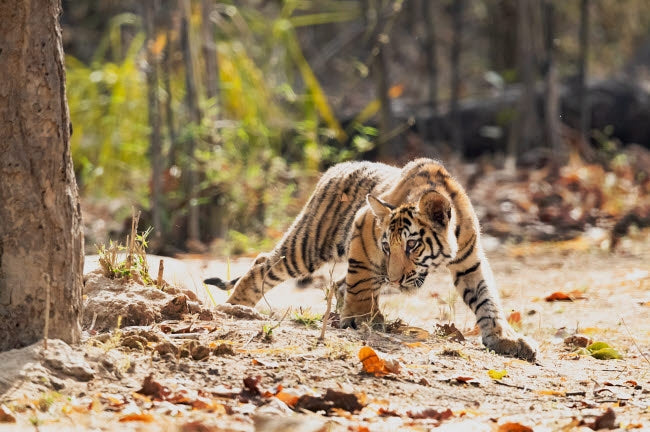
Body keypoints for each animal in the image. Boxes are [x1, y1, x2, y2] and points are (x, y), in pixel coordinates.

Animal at [204, 158, 538, 361]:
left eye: (412, 245)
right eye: (388, 246)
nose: (395, 278)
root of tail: (336, 168)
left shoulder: (470, 261)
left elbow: (486, 299)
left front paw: (505, 339)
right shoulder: (364, 231)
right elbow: (360, 281)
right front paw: (360, 318)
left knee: (339, 283)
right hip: (308, 247)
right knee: (263, 263)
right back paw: (235, 308)